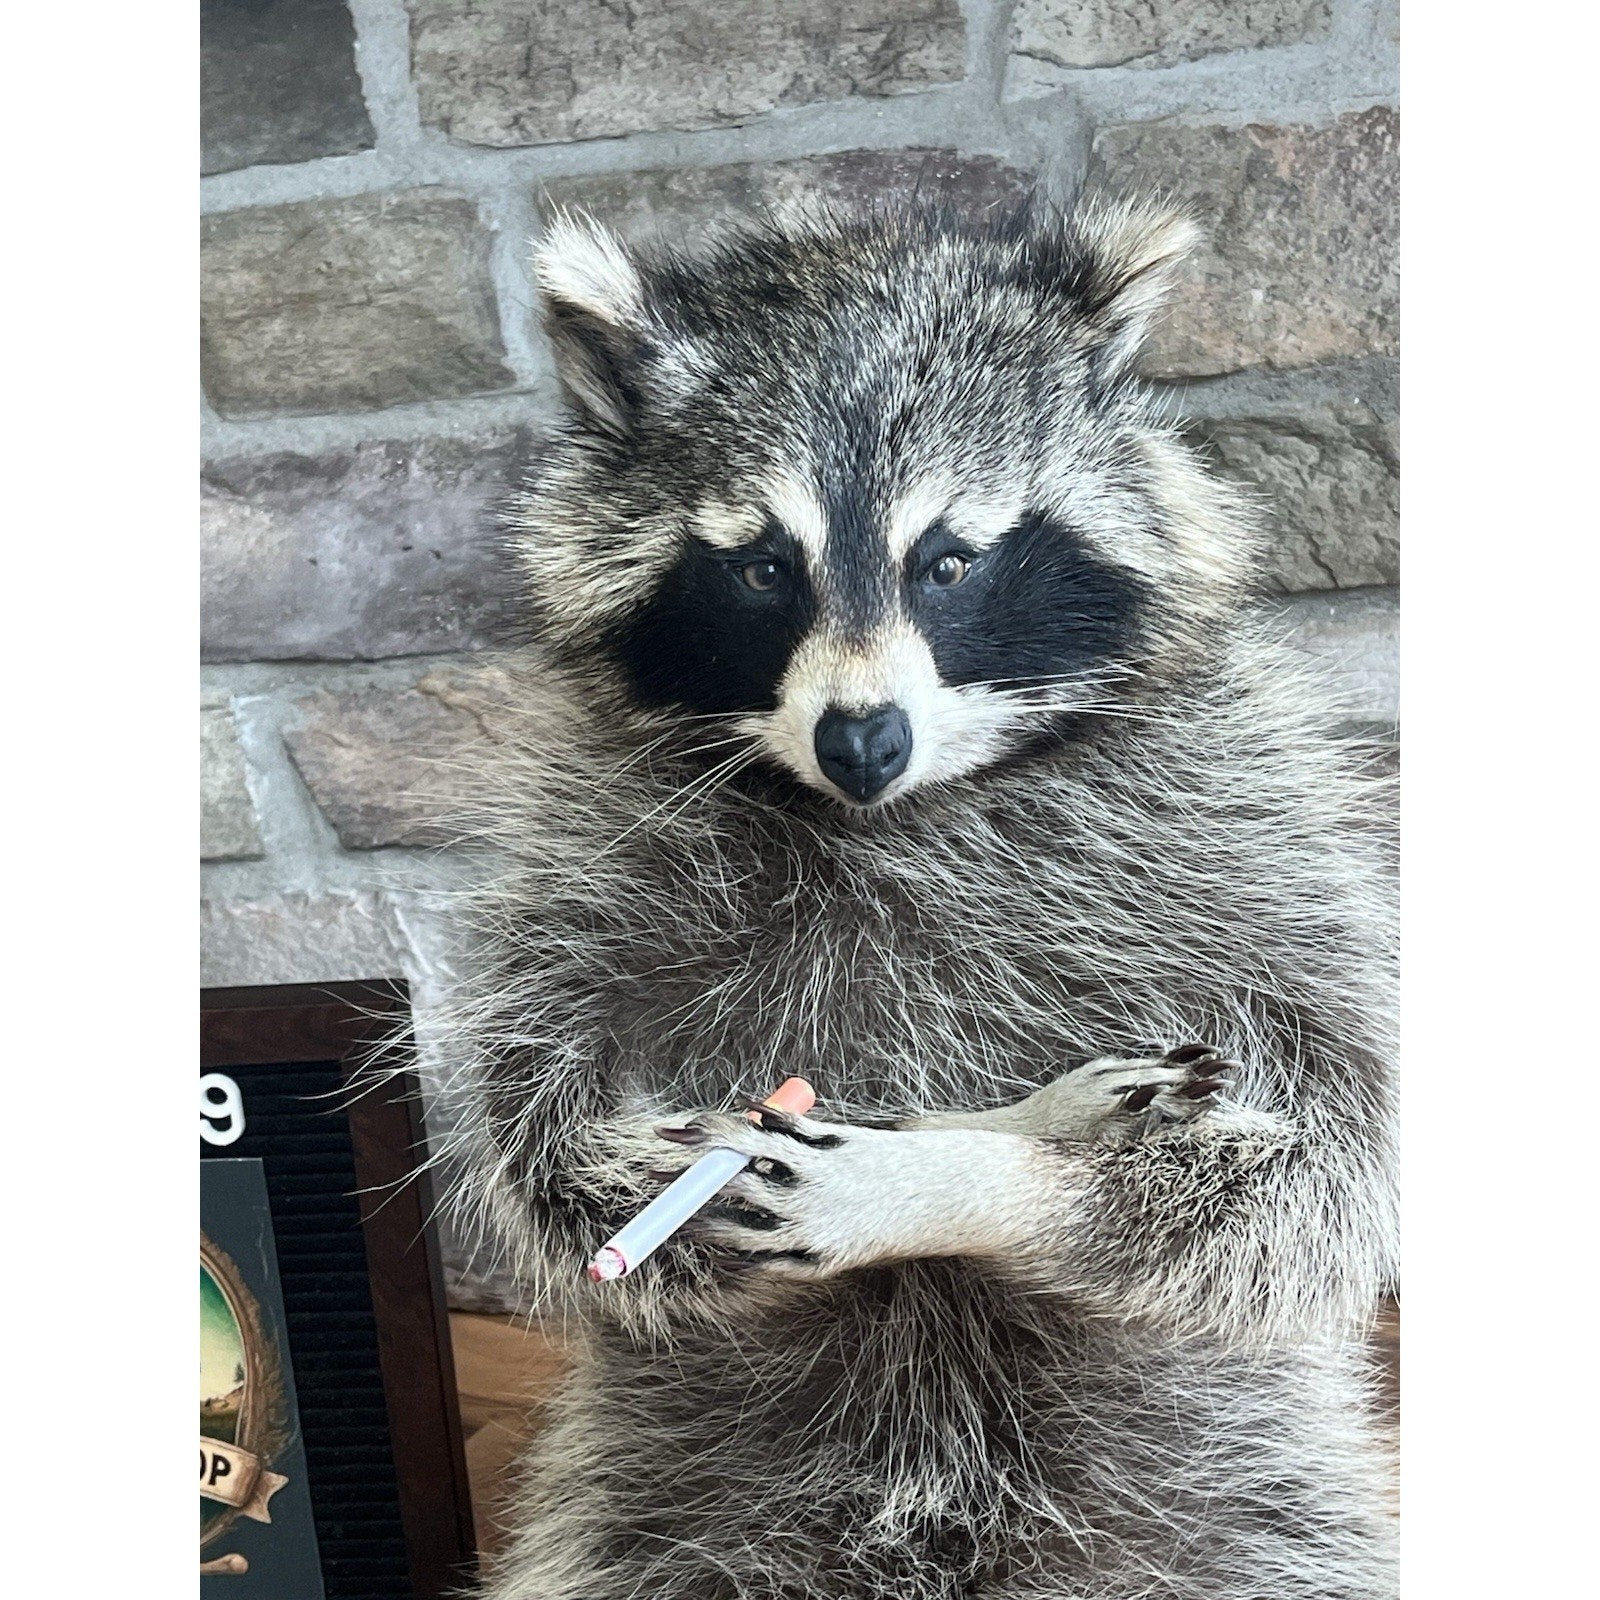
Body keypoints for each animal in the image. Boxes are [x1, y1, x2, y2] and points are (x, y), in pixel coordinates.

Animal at [441, 195, 1399, 1599]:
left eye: (948, 562)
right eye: (762, 569)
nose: (861, 739)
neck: (889, 812)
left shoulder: (1251, 815)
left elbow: (1327, 1146)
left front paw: (993, 1176)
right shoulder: (585, 837)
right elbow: (542, 1127)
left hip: (1245, 1500)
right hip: (656, 1505)